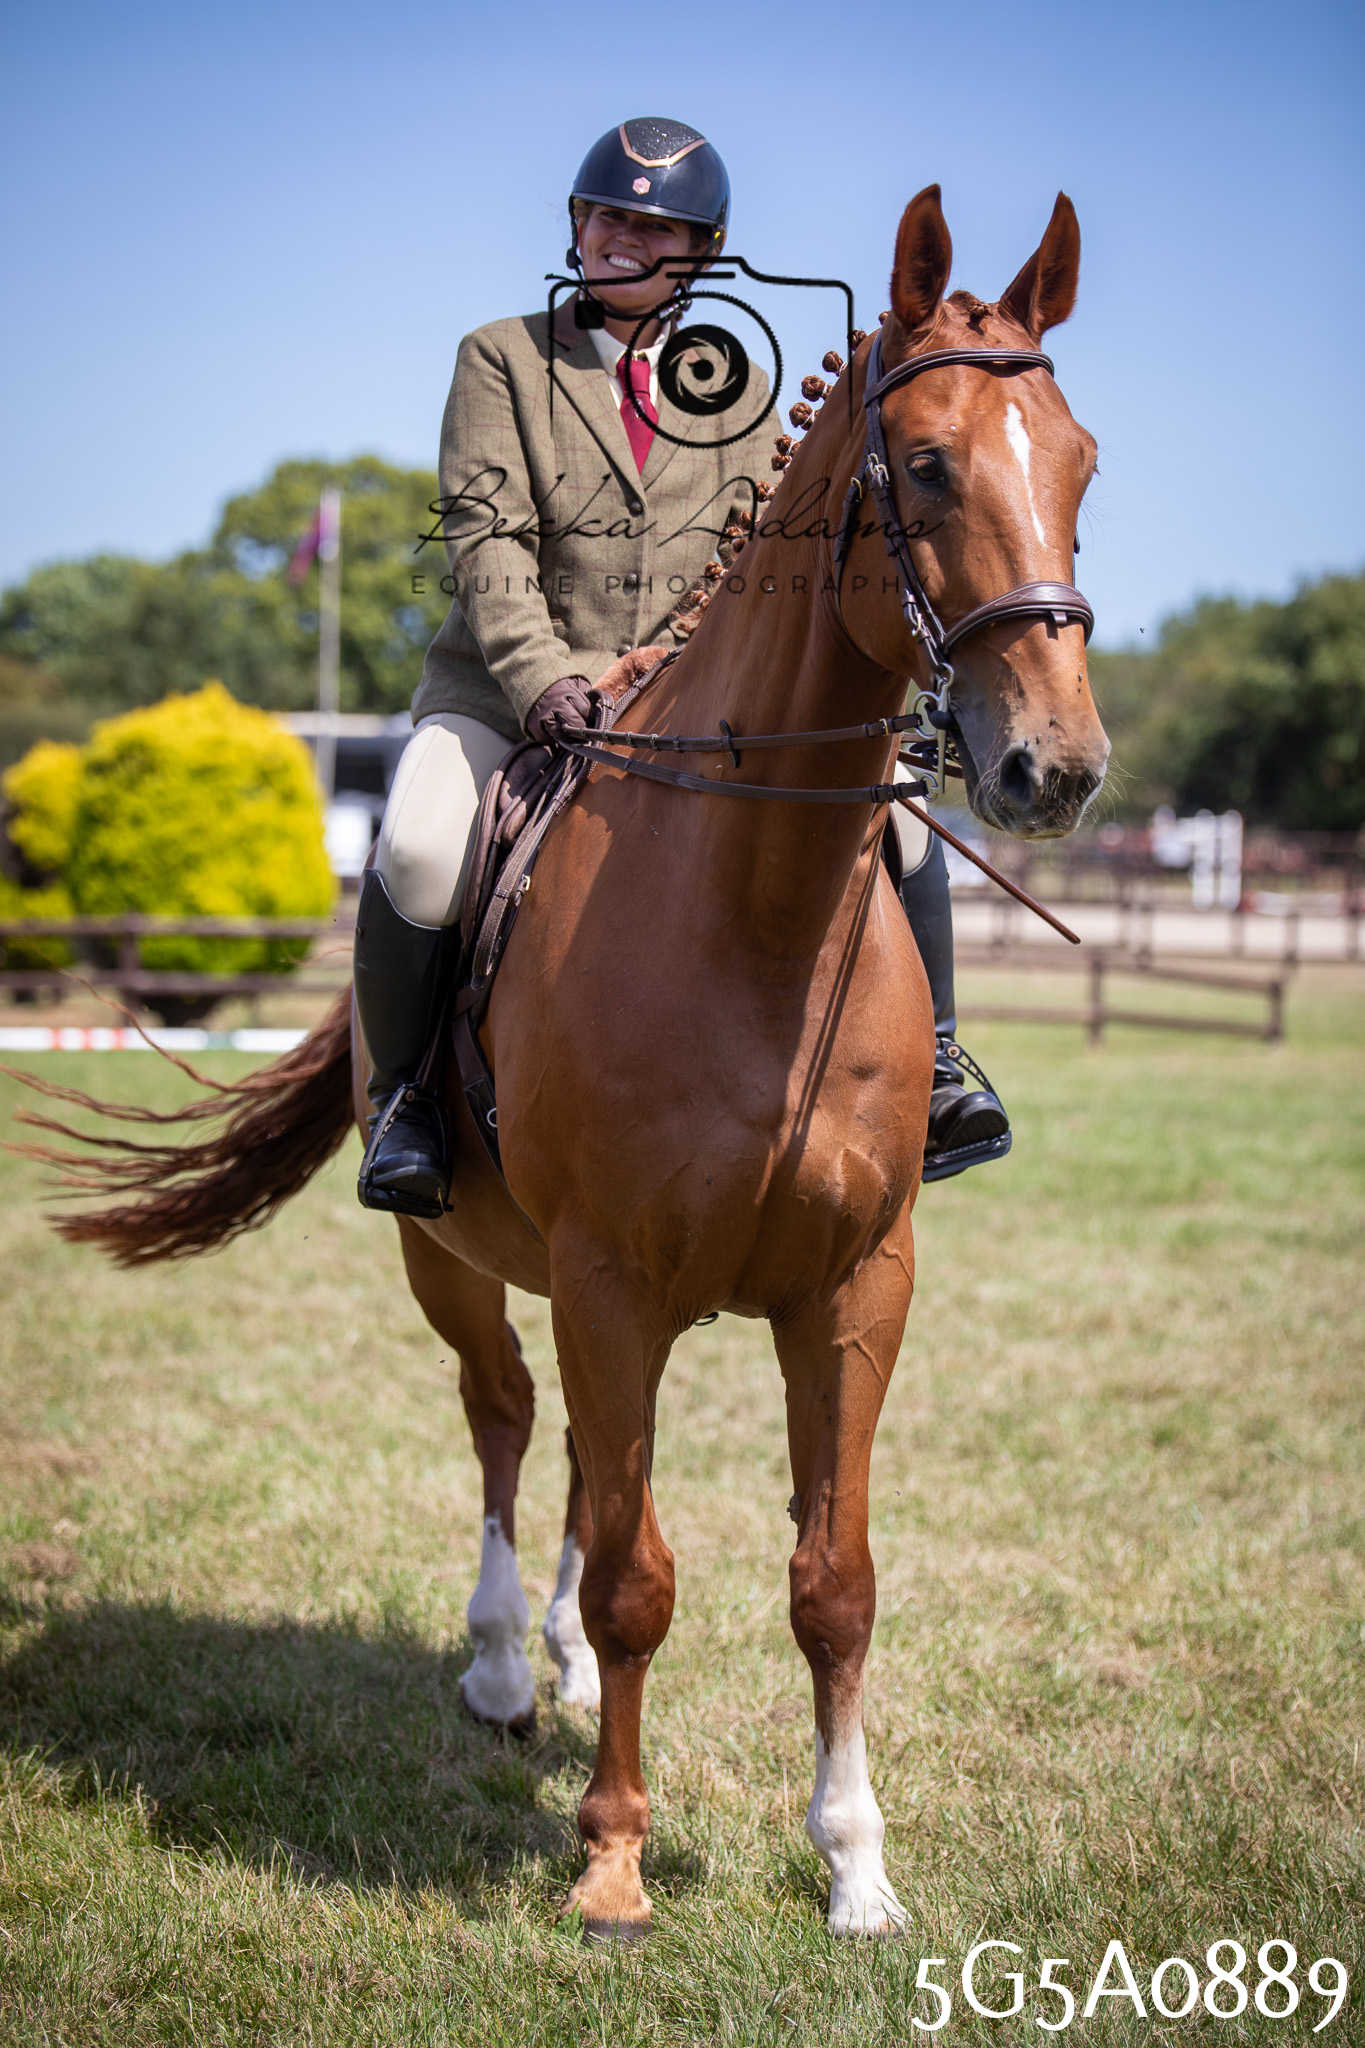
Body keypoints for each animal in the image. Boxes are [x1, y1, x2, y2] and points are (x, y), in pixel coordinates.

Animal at [23, 186, 1109, 1939]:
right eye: (930, 466)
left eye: (1082, 461)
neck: (753, 908)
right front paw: (609, 1862)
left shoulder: (855, 1286)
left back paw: (563, 1675)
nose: (1053, 768)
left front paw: (855, 1868)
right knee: (512, 1418)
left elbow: (832, 1579)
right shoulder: (611, 1280)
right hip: (460, 1260)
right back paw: (496, 1666)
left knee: (595, 1470)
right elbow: (637, 1574)